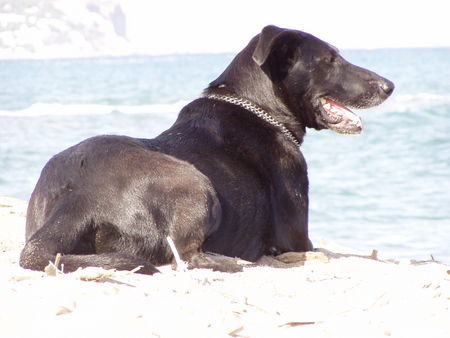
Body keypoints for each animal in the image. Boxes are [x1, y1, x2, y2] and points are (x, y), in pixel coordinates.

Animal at [20, 26, 394, 274]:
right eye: (330, 60)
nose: (389, 86)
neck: (258, 106)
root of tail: (77, 198)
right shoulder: (298, 238)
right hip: (194, 182)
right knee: (185, 256)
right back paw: (234, 261)